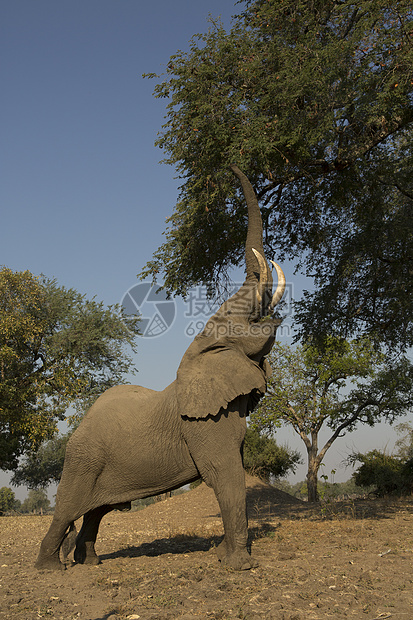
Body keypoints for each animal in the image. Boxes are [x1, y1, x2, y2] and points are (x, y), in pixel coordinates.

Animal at [35, 165, 284, 572]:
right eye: (235, 322)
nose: (231, 167)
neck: (198, 355)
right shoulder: (203, 423)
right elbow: (224, 475)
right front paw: (239, 567)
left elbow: (233, 472)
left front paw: (220, 557)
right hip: (82, 460)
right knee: (67, 510)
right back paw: (51, 569)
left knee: (96, 511)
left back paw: (91, 563)